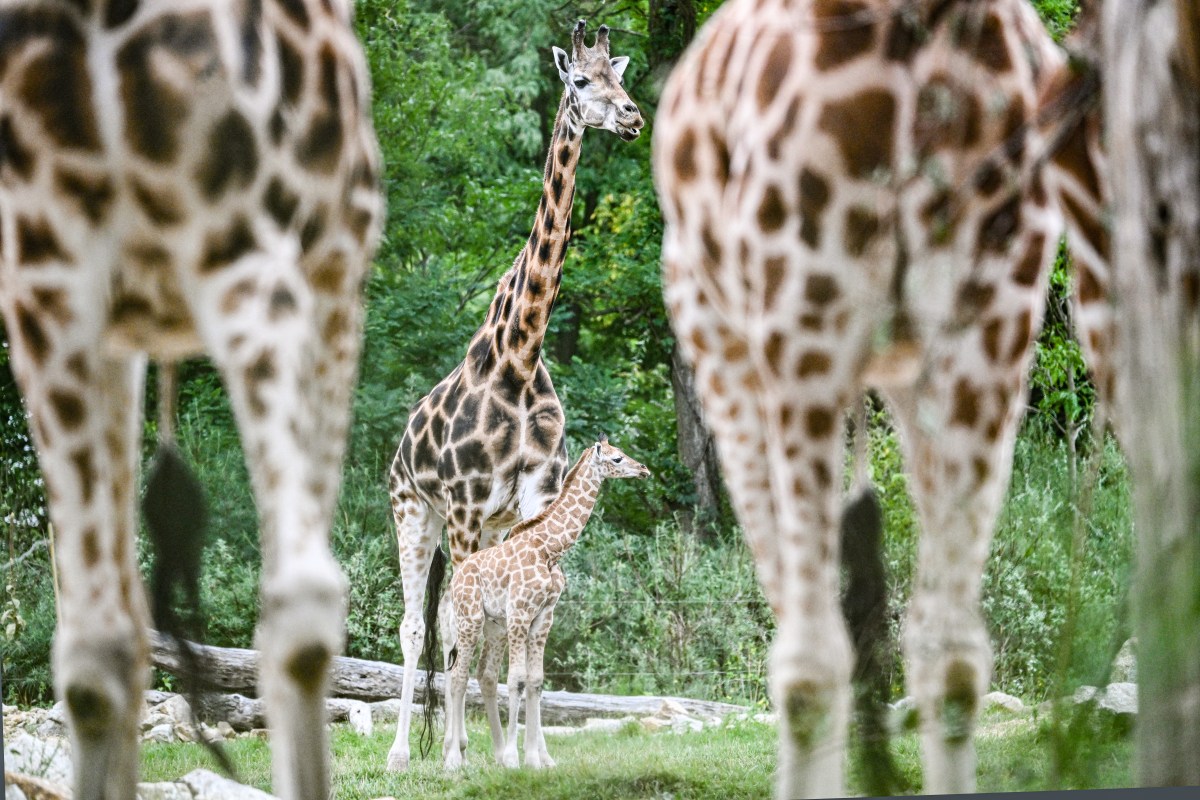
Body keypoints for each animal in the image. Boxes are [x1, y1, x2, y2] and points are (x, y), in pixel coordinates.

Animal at [441, 436, 650, 771]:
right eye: (617, 459)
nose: (643, 469)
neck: (550, 548)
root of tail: (456, 578)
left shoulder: (543, 617)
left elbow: (536, 681)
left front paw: (535, 760)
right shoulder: (519, 612)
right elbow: (516, 680)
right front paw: (513, 759)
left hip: (492, 625)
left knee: (479, 675)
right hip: (470, 619)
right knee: (459, 677)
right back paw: (453, 760)